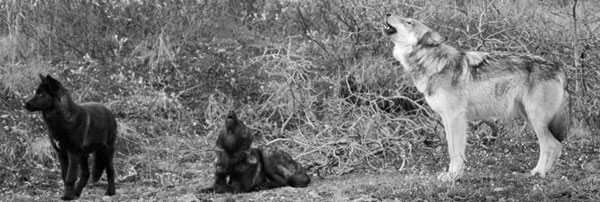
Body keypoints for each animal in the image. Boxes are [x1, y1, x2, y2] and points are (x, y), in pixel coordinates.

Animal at [382, 14, 568, 181]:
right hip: (529, 117)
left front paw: (454, 177)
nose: (388, 13)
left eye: (409, 22)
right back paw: (543, 172)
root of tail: (559, 67)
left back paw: (539, 173)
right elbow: (451, 148)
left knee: (550, 145)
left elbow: (455, 151)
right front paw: (451, 175)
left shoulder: (455, 117)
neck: (434, 64)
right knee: (556, 145)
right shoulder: (446, 118)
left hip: (536, 119)